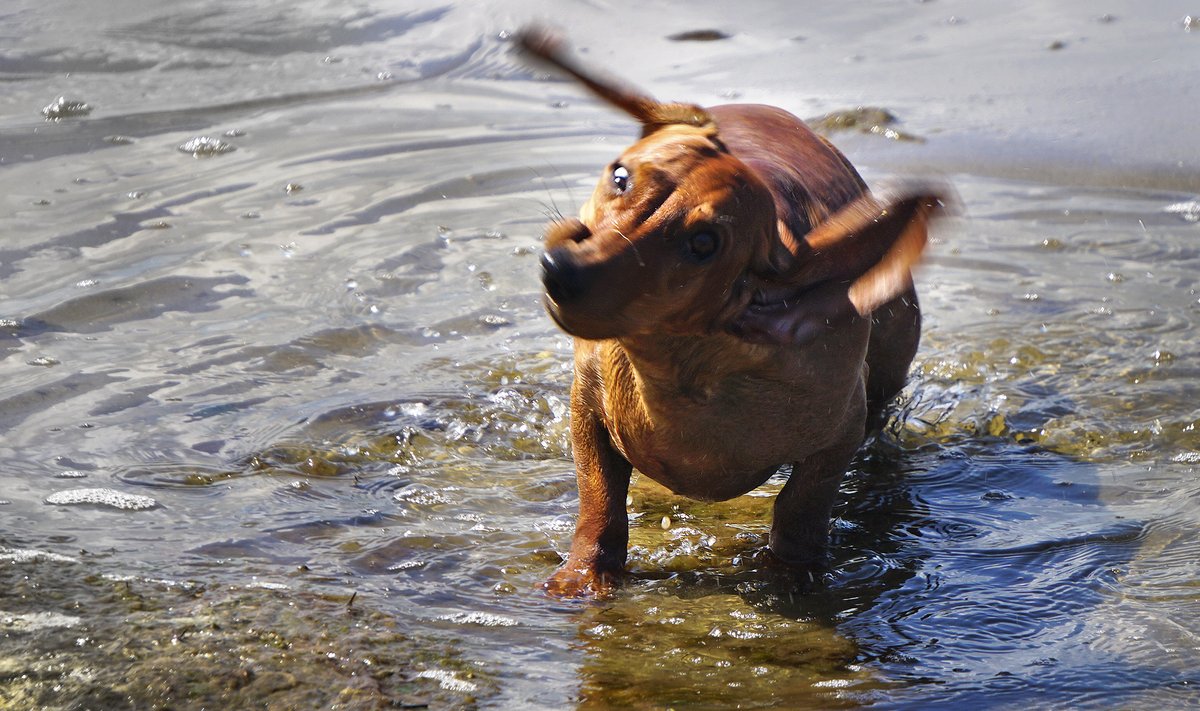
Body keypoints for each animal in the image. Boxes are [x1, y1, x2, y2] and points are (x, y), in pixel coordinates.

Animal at [520, 26, 940, 593]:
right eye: (621, 178)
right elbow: (599, 501)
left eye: (704, 243)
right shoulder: (587, 409)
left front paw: (790, 576)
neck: (678, 375)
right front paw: (585, 574)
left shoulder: (840, 432)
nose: (560, 269)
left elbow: (801, 507)